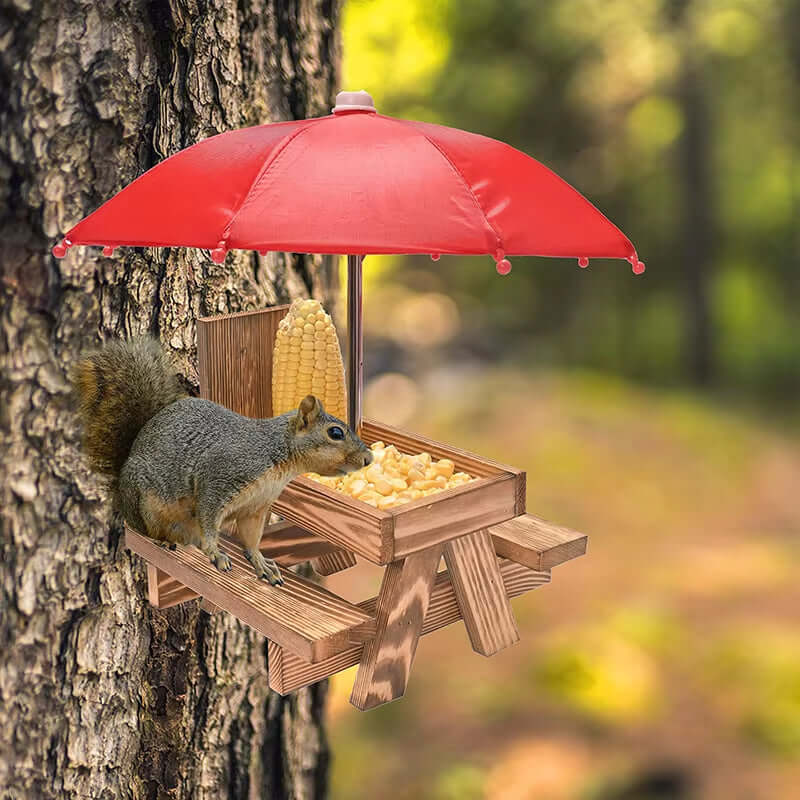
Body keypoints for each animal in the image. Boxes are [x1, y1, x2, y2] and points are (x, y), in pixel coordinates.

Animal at [72, 334, 376, 584]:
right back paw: (162, 541)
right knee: (149, 529)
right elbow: (209, 519)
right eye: (335, 432)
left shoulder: (256, 507)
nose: (368, 458)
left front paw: (261, 563)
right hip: (146, 502)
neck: (278, 457)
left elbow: (251, 539)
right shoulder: (220, 478)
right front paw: (215, 553)